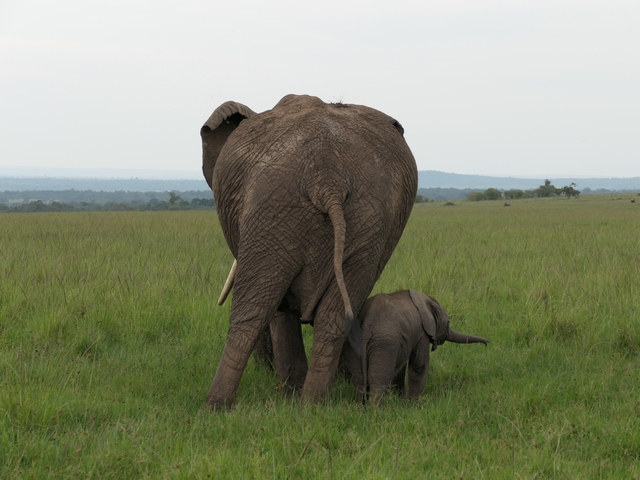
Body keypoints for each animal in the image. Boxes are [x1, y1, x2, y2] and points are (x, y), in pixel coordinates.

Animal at [201, 94, 418, 409]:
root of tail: (327, 176)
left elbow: (278, 311)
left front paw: (287, 392)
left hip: (273, 206)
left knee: (252, 309)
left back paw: (217, 407)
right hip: (370, 217)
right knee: (335, 317)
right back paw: (311, 405)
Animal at [340, 290, 489, 402]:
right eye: (448, 323)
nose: (487, 343)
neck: (427, 299)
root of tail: (366, 324)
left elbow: (401, 369)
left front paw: (401, 400)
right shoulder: (422, 333)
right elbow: (419, 366)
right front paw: (413, 404)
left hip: (353, 344)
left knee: (359, 379)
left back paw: (361, 408)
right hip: (384, 343)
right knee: (379, 379)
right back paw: (376, 413)